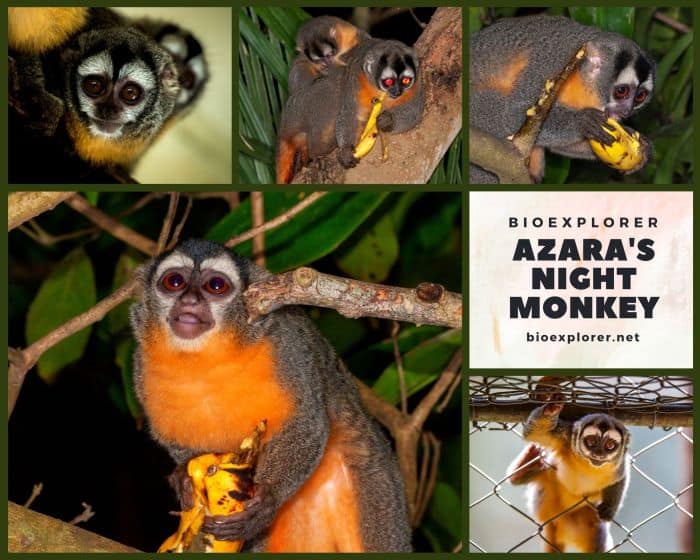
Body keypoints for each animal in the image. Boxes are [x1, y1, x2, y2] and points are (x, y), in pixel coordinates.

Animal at [129, 239, 412, 552]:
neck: (206, 354)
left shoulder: (287, 345)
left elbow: (306, 423)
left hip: (374, 481)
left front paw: (268, 500)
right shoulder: (141, 368)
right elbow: (178, 444)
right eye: (174, 282)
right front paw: (184, 480)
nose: (189, 301)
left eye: (216, 286)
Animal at [276, 38, 424, 183]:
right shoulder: (357, 79)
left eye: (406, 80)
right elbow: (350, 113)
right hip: (298, 108)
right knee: (333, 89)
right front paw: (346, 150)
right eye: (388, 82)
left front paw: (387, 121)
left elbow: (414, 113)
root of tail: (283, 127)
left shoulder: (417, 84)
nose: (397, 91)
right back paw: (318, 152)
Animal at [469, 15, 655, 183]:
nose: (627, 110)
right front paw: (582, 121)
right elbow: (514, 114)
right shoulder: (552, 63)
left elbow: (557, 144)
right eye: (622, 91)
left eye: (640, 97)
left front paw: (642, 146)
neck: (582, 79)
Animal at [507, 396, 630, 552]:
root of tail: (555, 521)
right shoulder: (565, 437)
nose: (598, 454)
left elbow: (620, 479)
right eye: (591, 441)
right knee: (519, 479)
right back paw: (526, 463)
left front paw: (609, 509)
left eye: (610, 445)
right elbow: (536, 433)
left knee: (599, 543)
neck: (587, 464)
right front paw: (551, 410)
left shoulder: (618, 466)